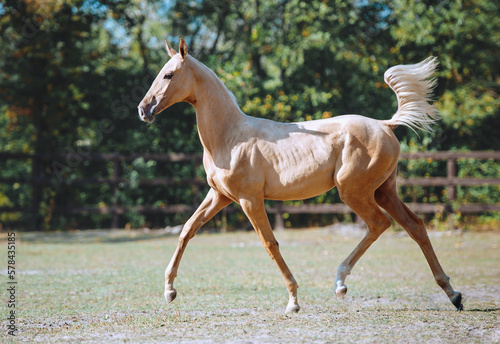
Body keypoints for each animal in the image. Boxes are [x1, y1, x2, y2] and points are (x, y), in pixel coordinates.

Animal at [136, 39, 460, 314]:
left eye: (168, 75)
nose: (143, 109)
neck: (230, 137)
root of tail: (385, 124)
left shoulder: (249, 200)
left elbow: (270, 244)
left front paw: (293, 301)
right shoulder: (219, 196)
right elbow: (186, 230)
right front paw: (169, 291)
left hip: (354, 192)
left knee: (379, 223)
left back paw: (341, 284)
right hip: (384, 191)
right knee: (414, 226)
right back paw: (453, 294)